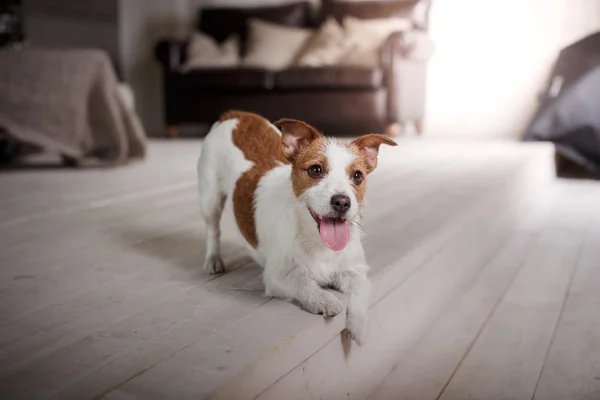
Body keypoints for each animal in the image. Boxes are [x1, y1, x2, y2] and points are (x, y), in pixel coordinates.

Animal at [196, 111, 394, 346]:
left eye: (357, 176)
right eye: (316, 170)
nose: (342, 202)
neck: (317, 241)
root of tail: (235, 114)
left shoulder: (354, 269)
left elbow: (361, 287)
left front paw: (360, 325)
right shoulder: (278, 277)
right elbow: (304, 283)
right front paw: (325, 299)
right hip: (210, 198)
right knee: (212, 230)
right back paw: (213, 259)